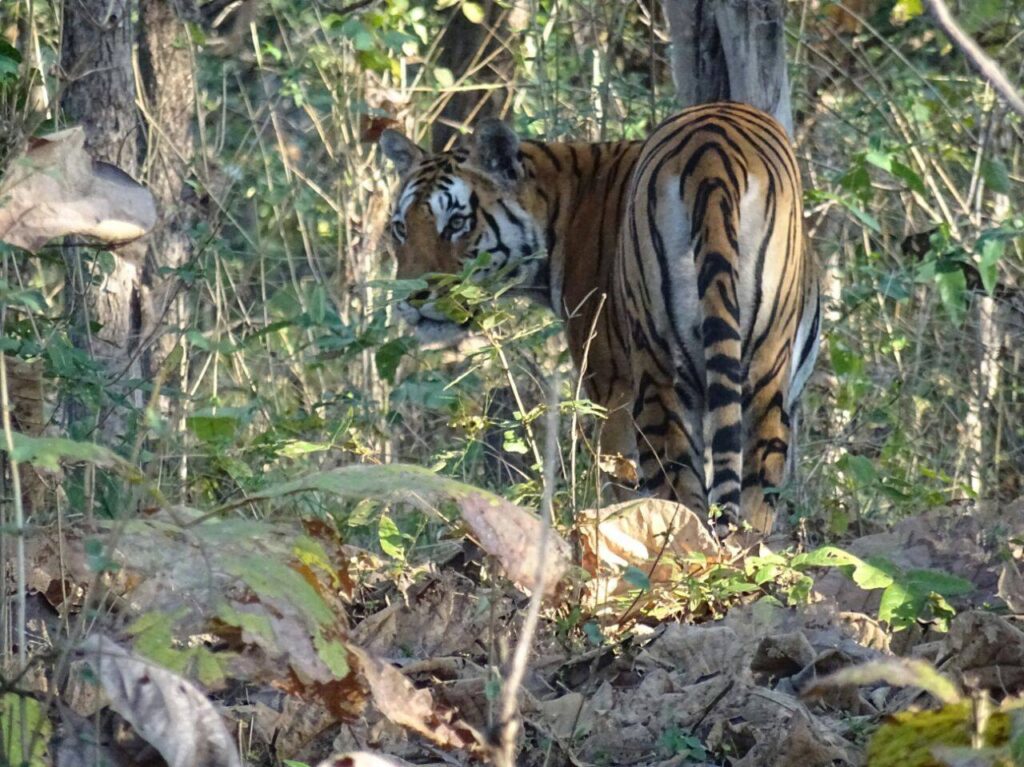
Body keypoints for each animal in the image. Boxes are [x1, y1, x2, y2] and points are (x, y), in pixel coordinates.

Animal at [380, 101, 819, 532]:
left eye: (456, 223)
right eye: (400, 228)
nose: (410, 297)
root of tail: (712, 155)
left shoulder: (609, 384)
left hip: (656, 372)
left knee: (678, 494)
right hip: (764, 372)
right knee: (755, 495)